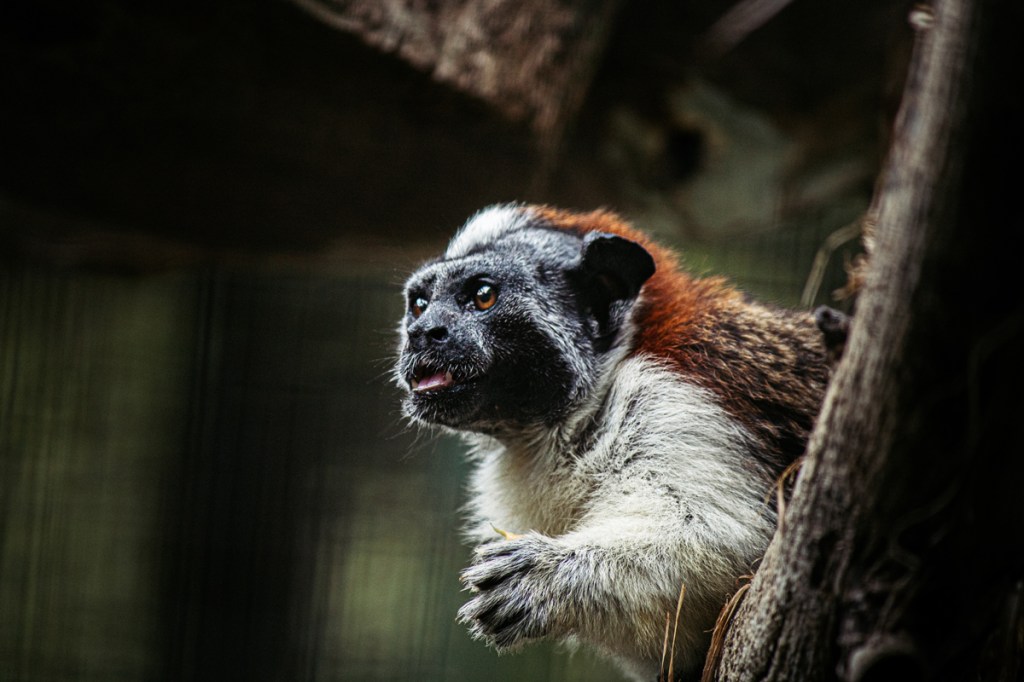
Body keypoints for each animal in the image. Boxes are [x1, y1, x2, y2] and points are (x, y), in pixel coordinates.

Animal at [394, 204, 831, 681]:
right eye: (420, 305)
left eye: (483, 296)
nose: (423, 332)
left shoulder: (677, 402)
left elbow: (732, 540)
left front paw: (547, 577)